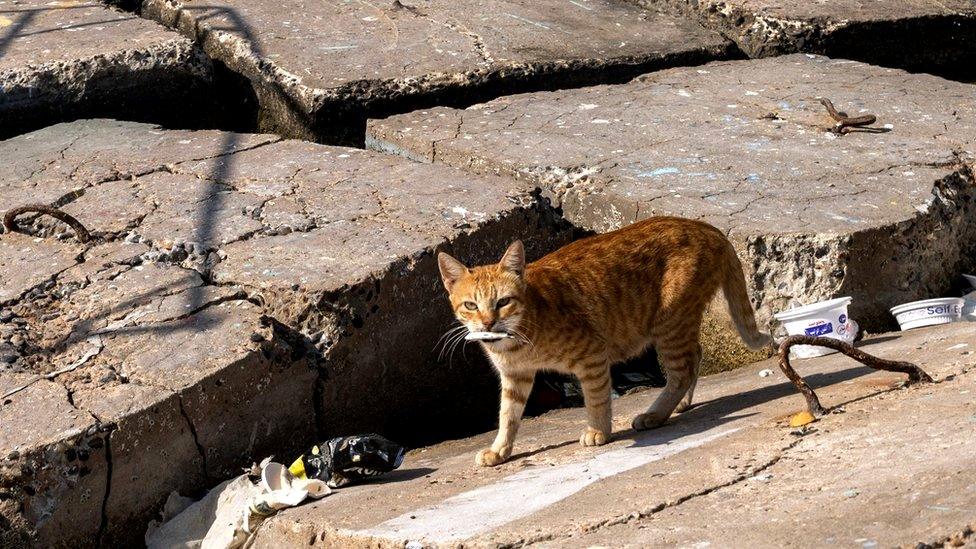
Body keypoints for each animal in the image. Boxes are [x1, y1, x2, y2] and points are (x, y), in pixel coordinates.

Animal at [440, 216, 772, 464]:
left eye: (503, 302)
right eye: (471, 305)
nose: (488, 322)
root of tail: (703, 225)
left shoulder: (592, 356)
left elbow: (597, 398)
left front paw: (598, 431)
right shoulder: (515, 376)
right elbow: (508, 415)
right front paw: (500, 450)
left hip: (670, 323)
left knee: (684, 369)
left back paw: (655, 414)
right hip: (675, 327)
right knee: (696, 356)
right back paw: (678, 405)